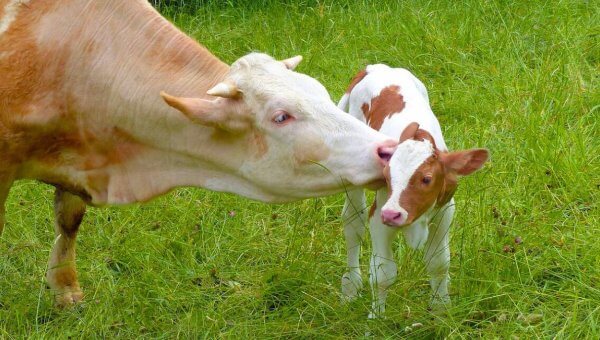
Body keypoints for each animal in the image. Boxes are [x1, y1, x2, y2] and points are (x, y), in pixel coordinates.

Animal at [338, 64, 488, 318]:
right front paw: (376, 317)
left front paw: (441, 309)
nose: (393, 214)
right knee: (353, 223)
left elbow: (439, 263)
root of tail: (375, 67)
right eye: (387, 176)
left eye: (426, 179)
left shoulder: (444, 211)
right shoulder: (380, 214)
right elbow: (382, 273)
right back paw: (350, 286)